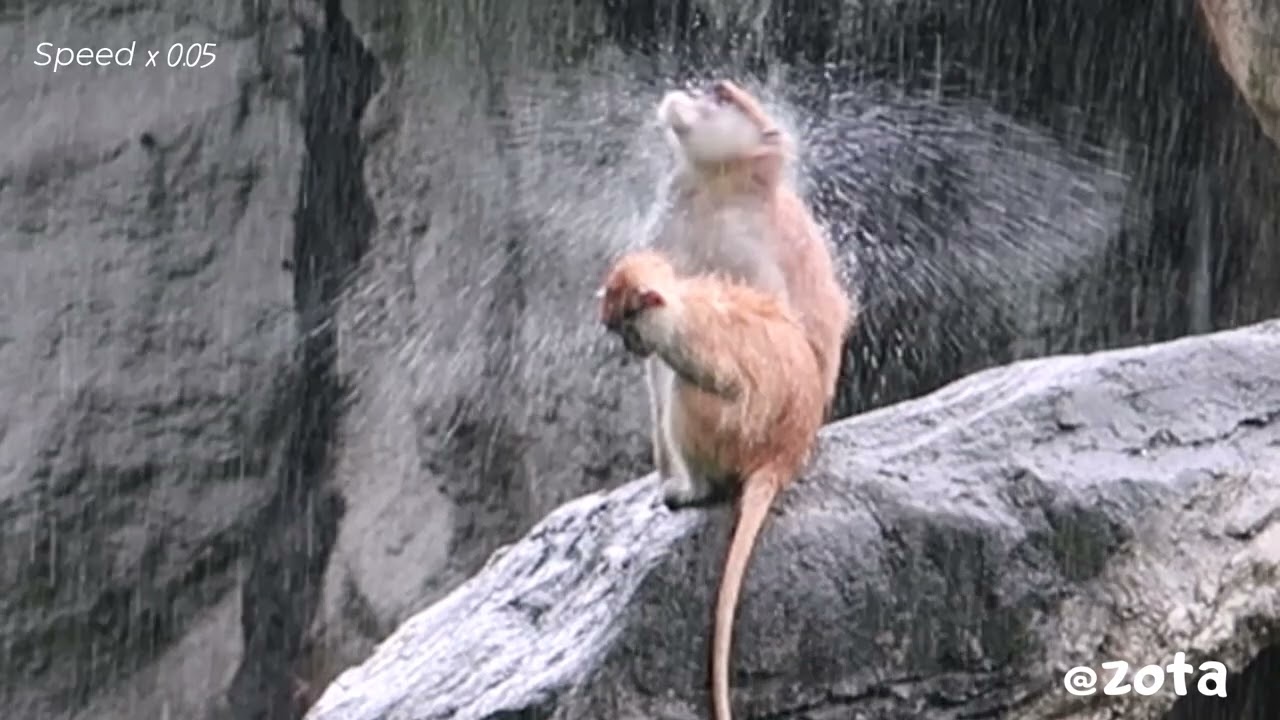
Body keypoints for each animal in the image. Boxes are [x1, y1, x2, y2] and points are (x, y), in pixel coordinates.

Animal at [598, 250, 826, 720]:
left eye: (629, 325)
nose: (630, 347)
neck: (681, 303)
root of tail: (781, 455)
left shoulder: (685, 343)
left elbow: (723, 383)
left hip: (736, 437)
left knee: (687, 393)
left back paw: (696, 490)